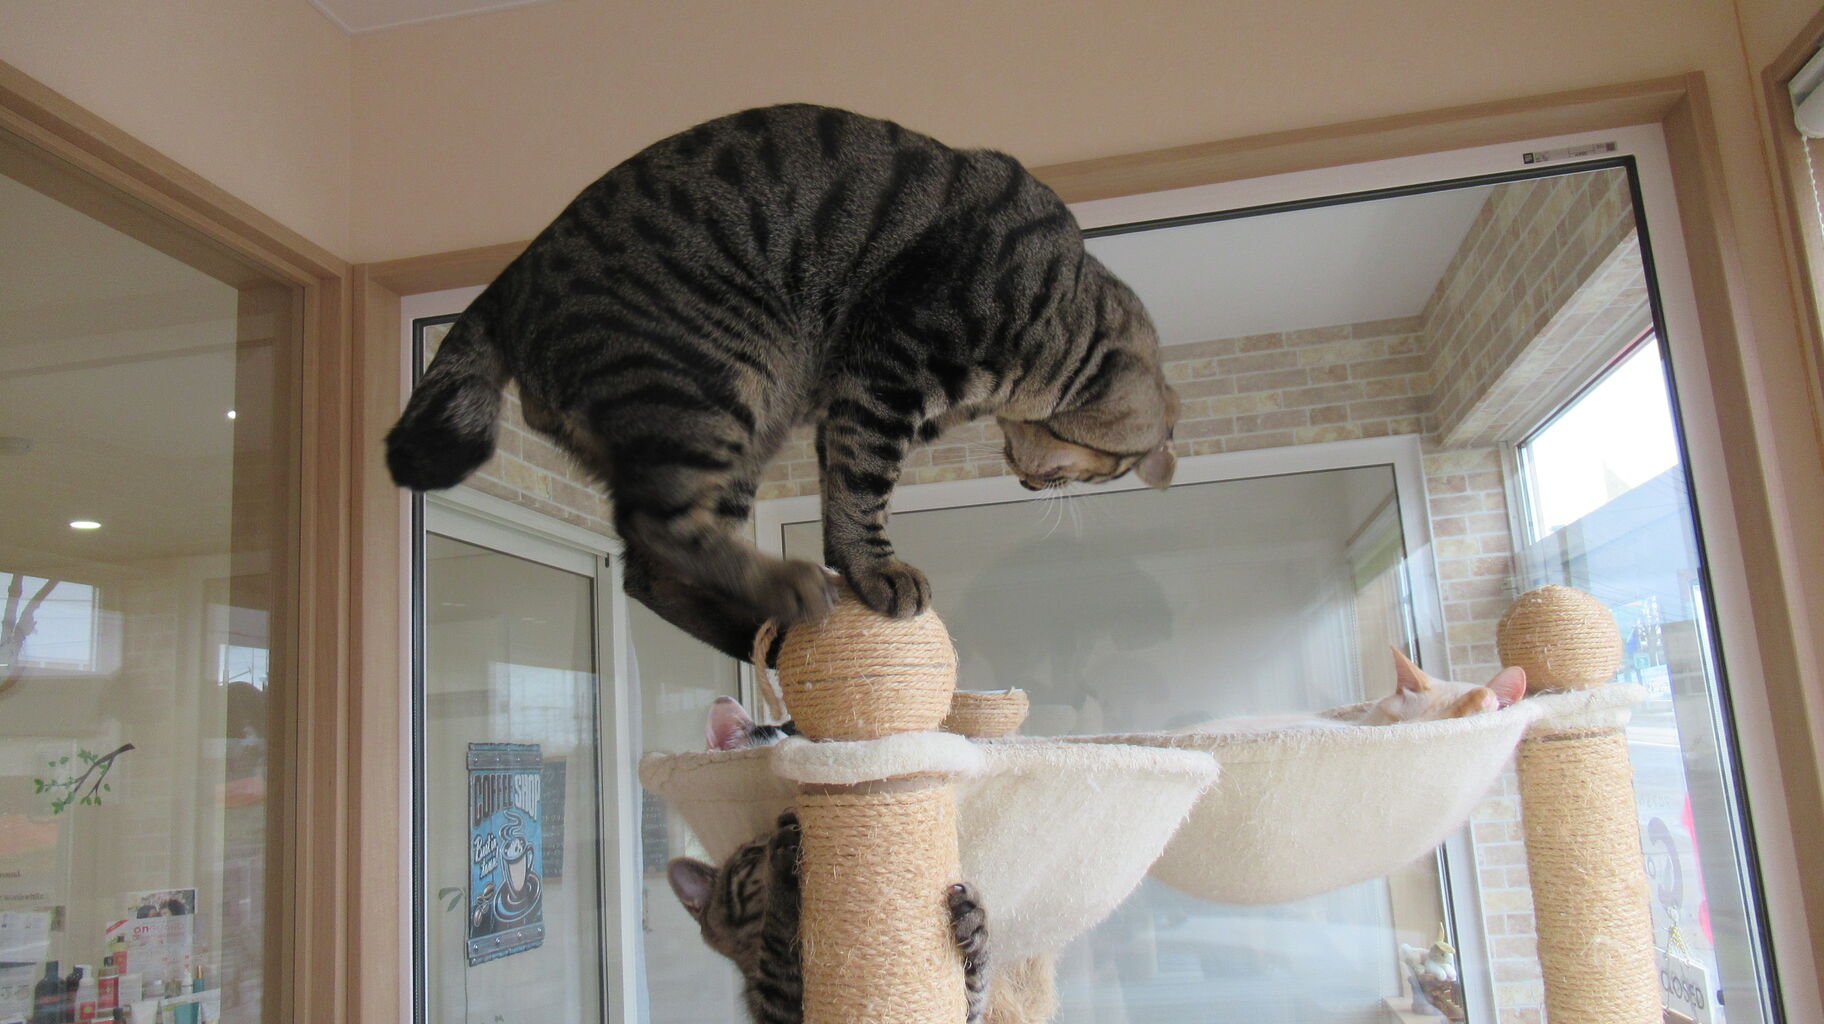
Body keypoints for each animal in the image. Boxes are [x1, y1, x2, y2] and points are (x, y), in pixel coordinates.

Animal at [386, 104, 1179, 662]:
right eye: (1097, 475)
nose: (1029, 483)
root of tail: (509, 277)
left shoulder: (861, 401)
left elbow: (845, 489)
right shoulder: (889, 366)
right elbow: (862, 493)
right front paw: (876, 570)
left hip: (745, 427)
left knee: (648, 570)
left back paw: (765, 636)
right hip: (715, 382)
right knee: (653, 527)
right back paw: (787, 591)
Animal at [667, 810, 990, 1024]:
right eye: (751, 853)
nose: (783, 820)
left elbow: (971, 995)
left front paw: (974, 922)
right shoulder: (781, 1004)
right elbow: (781, 930)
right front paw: (783, 866)